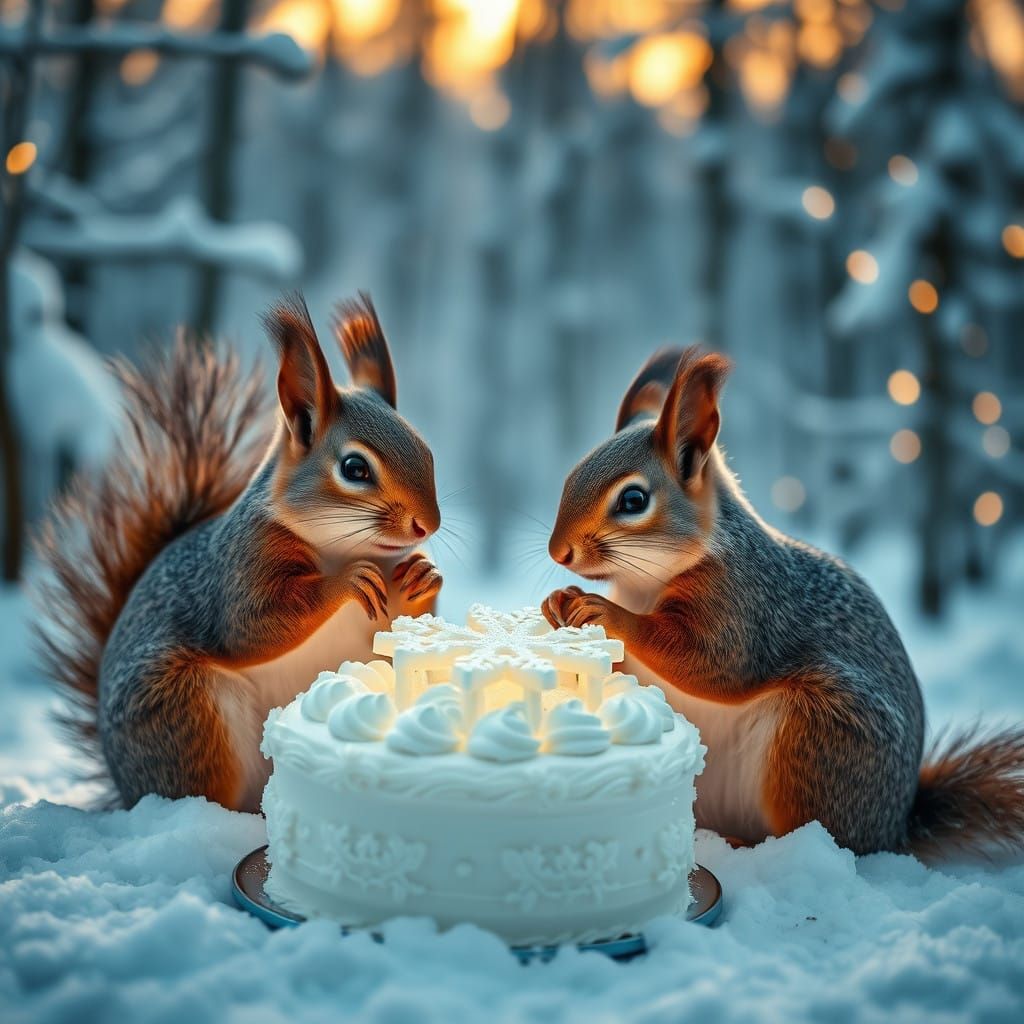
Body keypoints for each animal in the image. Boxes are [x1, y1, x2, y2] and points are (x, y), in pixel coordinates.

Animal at [35, 293, 442, 813]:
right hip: (185, 710)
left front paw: (422, 578)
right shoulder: (240, 565)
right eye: (355, 468)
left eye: (427, 452)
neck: (342, 546)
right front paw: (345, 582)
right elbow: (251, 626)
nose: (428, 525)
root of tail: (125, 787)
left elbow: (398, 637)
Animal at [542, 346, 1024, 857]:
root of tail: (894, 827)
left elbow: (715, 662)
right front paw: (557, 605)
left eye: (633, 500)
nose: (558, 552)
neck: (643, 583)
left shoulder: (746, 602)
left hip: (818, 739)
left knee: (829, 835)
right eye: (569, 479)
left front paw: (607, 612)